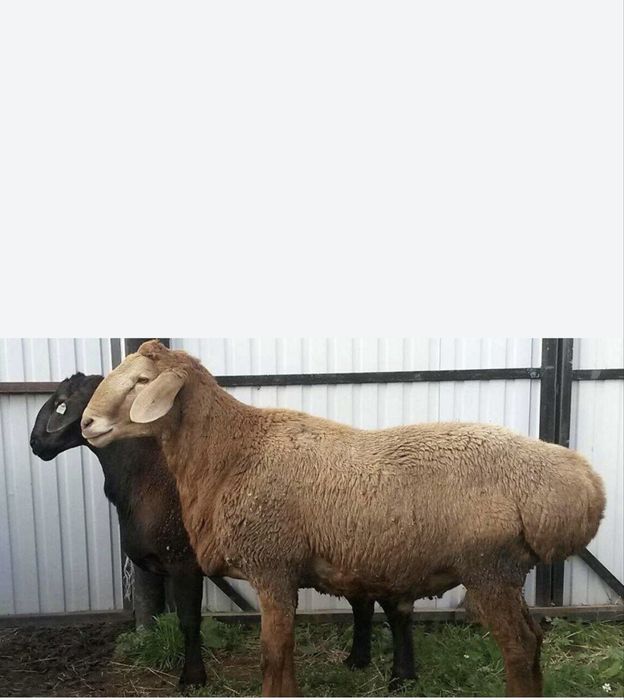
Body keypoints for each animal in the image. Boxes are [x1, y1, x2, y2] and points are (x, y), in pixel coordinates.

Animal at [30, 371, 417, 688]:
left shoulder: (183, 562)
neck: (146, 476)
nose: (35, 445)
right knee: (362, 603)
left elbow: (189, 621)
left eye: (63, 403)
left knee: (394, 610)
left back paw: (401, 677)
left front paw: (192, 679)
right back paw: (357, 660)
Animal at [80, 341, 606, 697]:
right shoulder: (282, 572)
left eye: (142, 383)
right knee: (534, 640)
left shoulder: (272, 566)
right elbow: (285, 655)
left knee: (518, 647)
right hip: (507, 571)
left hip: (489, 568)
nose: (86, 423)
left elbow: (274, 655)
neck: (232, 451)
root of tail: (584, 484)